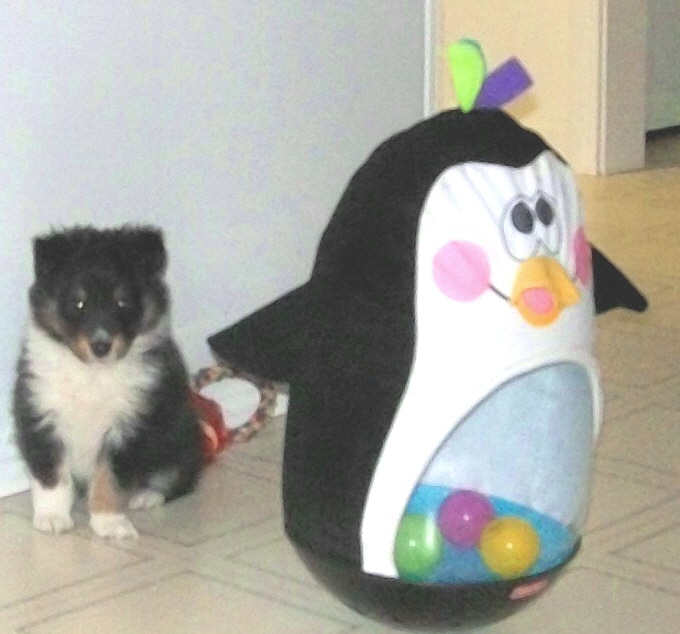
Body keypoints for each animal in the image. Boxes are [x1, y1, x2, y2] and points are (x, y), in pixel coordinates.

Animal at [13, 225, 203, 539]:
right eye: (78, 303)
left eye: (122, 302)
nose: (101, 346)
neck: (93, 373)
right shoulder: (40, 415)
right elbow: (52, 475)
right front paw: (52, 517)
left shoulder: (130, 426)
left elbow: (110, 478)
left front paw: (109, 523)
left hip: (180, 437)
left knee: (178, 478)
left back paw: (145, 496)